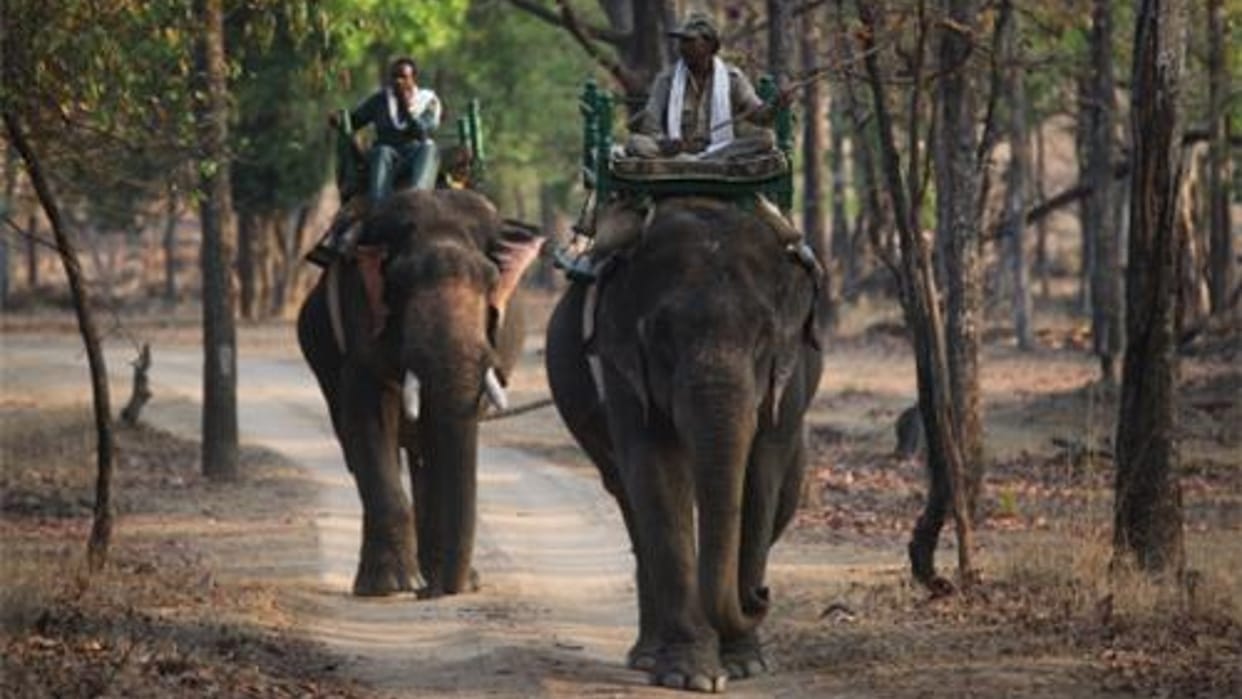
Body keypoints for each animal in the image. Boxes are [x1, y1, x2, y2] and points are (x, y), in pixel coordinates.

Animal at [298, 188, 543, 598]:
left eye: (491, 280)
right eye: (397, 281)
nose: (446, 590)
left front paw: (441, 582)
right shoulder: (359, 320)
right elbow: (366, 417)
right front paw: (390, 586)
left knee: (422, 452)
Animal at [545, 196, 824, 692]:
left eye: (763, 338)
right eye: (661, 337)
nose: (761, 594)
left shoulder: (789, 376)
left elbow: (762, 473)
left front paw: (744, 665)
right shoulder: (619, 362)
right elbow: (655, 468)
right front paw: (691, 676)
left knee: (784, 495)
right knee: (631, 504)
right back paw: (647, 655)